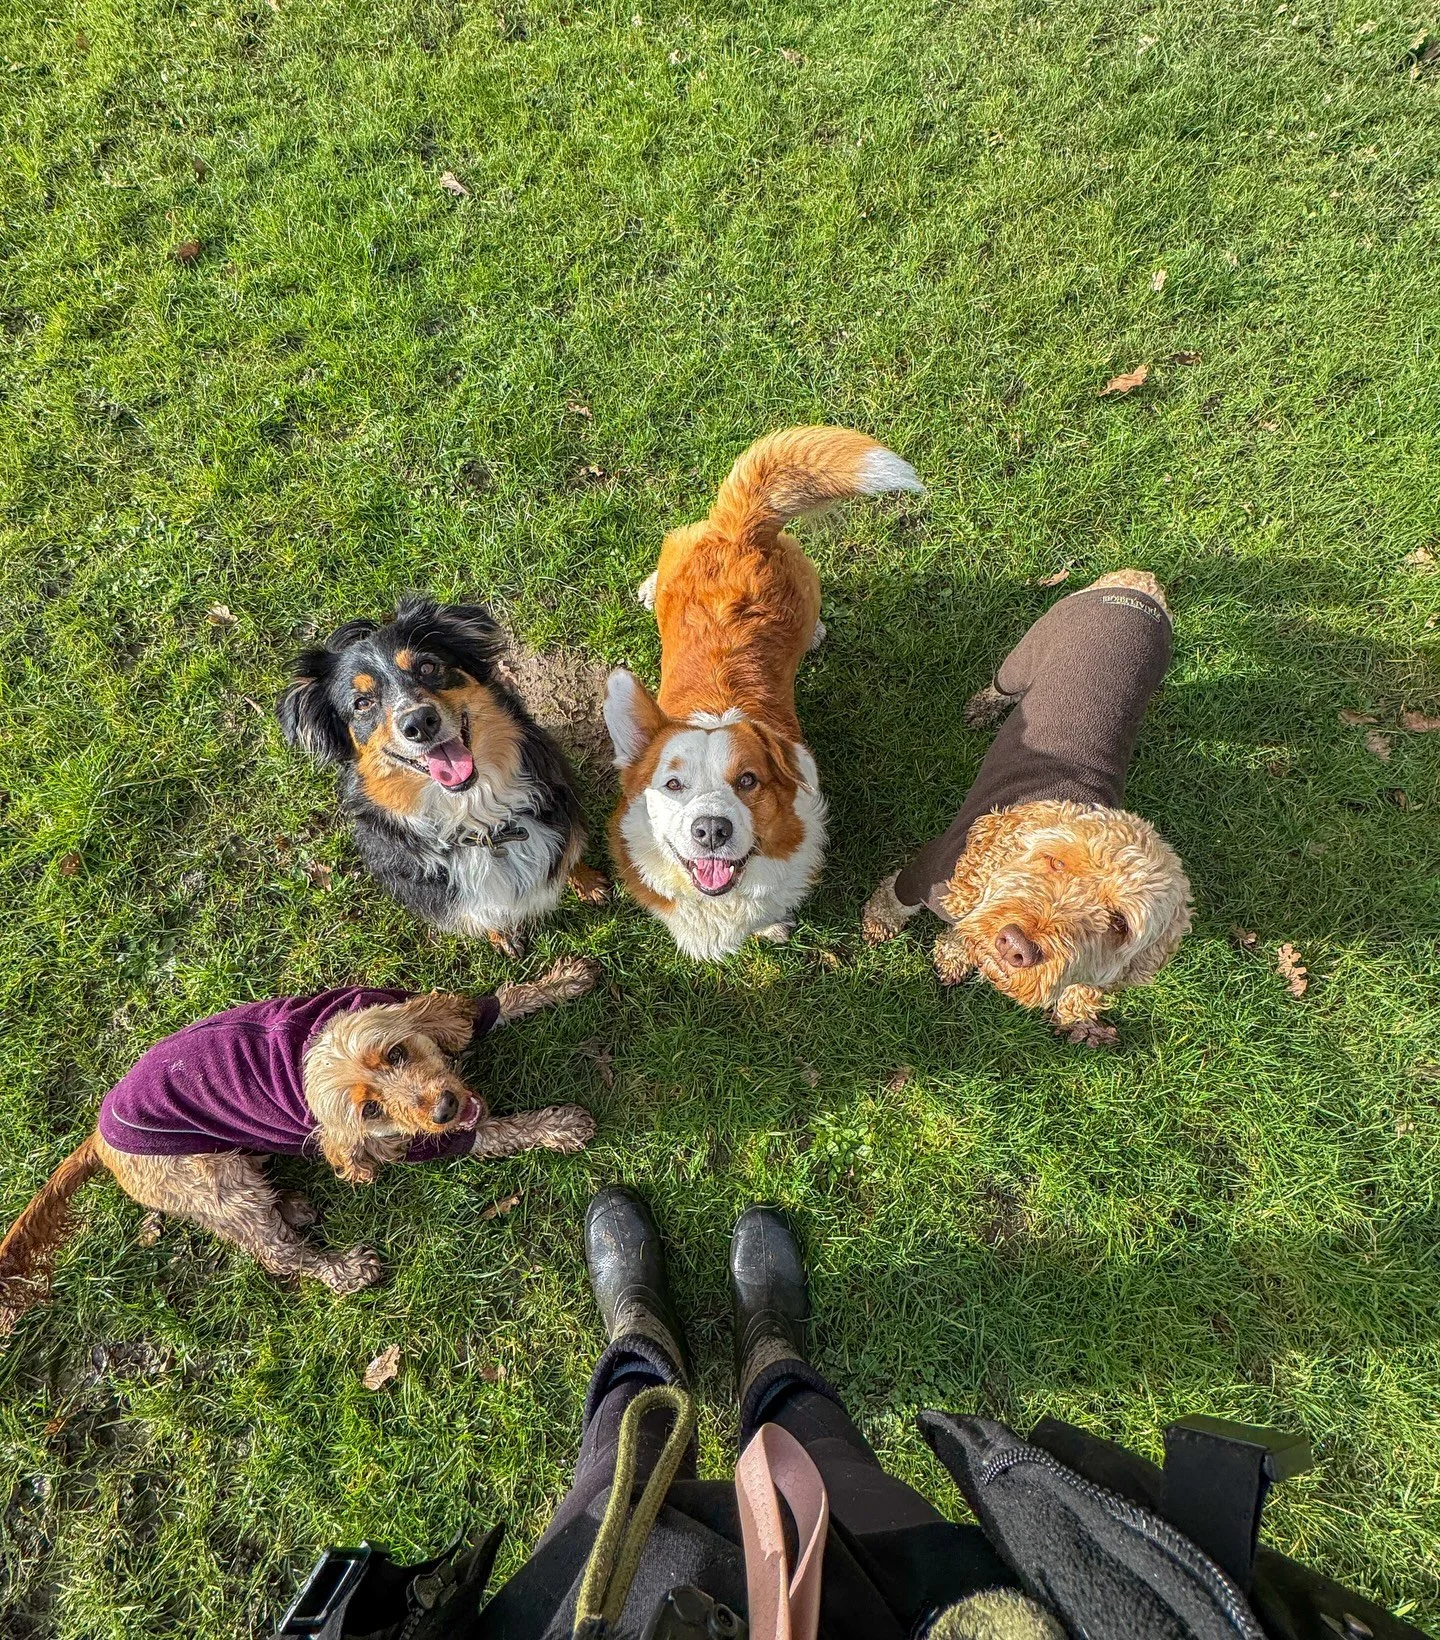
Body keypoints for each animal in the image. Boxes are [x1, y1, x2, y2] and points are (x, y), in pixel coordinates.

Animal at [0, 958, 599, 1333]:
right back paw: (341, 1267)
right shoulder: (416, 1143)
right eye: (370, 1111)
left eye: (397, 1053)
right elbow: (497, 1132)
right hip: (216, 1180)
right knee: (277, 1254)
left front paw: (561, 982)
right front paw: (558, 1126)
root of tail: (98, 1141)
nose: (445, 1109)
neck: (311, 1045)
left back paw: (293, 1204)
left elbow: (495, 1003)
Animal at [280, 598, 607, 959]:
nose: (419, 722)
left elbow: (570, 856)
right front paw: (502, 936)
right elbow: (487, 916)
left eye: (427, 667)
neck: (477, 817)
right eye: (362, 703)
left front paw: (589, 883)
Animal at [605, 425, 922, 959]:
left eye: (748, 780)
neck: (720, 904)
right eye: (673, 784)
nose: (712, 830)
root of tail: (740, 531)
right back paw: (649, 589)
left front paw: (771, 929)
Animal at [861, 572, 1192, 1044]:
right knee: (1001, 684)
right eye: (1055, 861)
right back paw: (984, 707)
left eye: (1119, 924)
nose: (1018, 946)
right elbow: (891, 900)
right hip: (1025, 655)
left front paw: (954, 954)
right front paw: (878, 924)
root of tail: (1139, 586)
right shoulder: (922, 873)